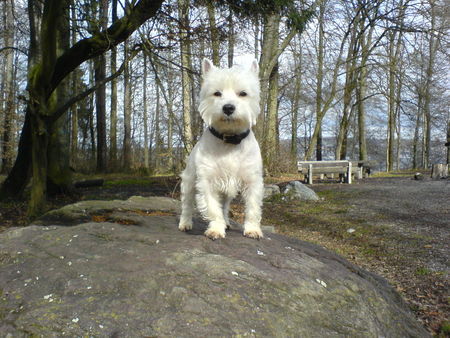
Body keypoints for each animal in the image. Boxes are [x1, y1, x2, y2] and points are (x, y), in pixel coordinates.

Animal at [178, 59, 264, 240]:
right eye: (217, 93)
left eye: (243, 93)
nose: (228, 108)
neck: (229, 140)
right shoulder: (207, 181)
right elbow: (212, 208)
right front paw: (216, 229)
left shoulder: (252, 181)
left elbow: (252, 208)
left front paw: (253, 229)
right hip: (189, 180)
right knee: (187, 204)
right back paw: (185, 223)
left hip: (227, 192)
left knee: (224, 206)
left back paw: (227, 222)